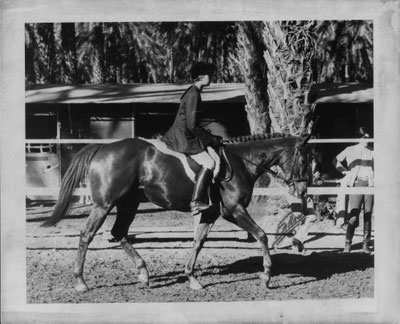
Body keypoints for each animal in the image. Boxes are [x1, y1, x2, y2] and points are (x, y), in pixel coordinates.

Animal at [43, 132, 312, 292]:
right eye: (305, 159)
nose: (302, 190)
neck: (241, 163)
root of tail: (102, 148)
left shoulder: (210, 213)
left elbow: (198, 242)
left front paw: (191, 277)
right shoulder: (234, 211)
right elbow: (262, 235)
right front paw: (266, 276)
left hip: (128, 204)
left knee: (119, 232)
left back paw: (143, 274)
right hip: (104, 205)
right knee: (86, 235)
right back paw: (80, 281)